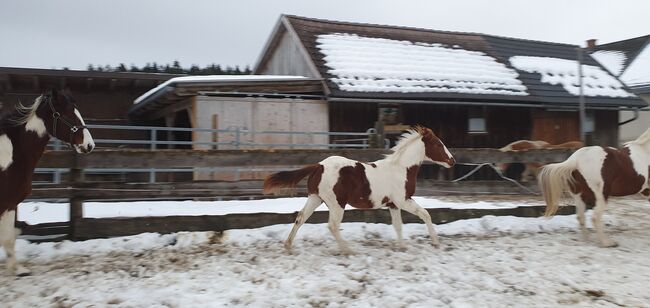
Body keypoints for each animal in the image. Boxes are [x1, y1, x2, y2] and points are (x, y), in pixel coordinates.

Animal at [0, 90, 93, 276]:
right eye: (68, 114)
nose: (89, 145)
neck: (11, 156)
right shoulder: (8, 203)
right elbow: (7, 237)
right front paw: (19, 269)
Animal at [260, 126, 454, 254]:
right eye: (438, 144)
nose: (452, 161)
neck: (402, 169)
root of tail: (319, 166)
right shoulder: (403, 200)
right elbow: (425, 214)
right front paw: (436, 243)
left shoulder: (393, 204)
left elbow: (398, 225)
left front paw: (402, 247)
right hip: (337, 204)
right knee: (332, 225)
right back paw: (347, 250)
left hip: (315, 198)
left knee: (300, 217)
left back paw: (287, 245)